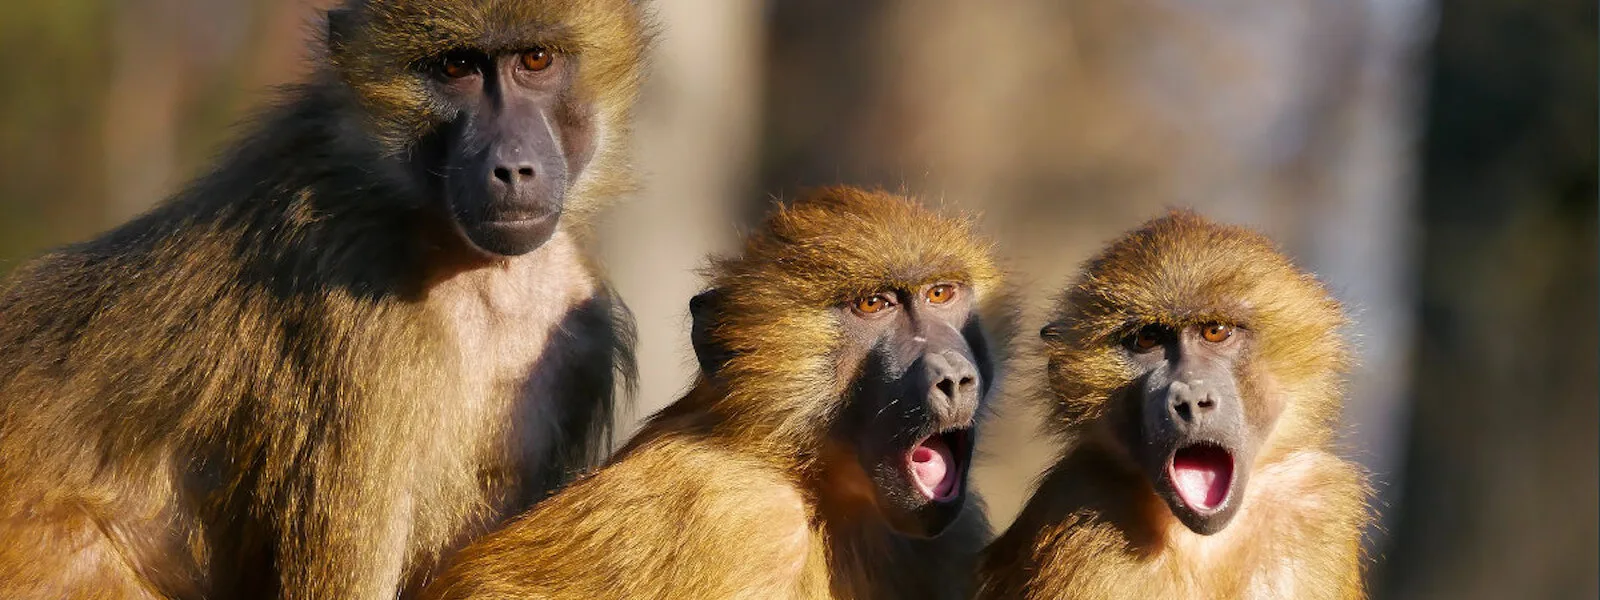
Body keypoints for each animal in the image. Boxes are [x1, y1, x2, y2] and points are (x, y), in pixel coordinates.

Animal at [977, 212, 1371, 600]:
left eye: (1216, 331)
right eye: (1147, 339)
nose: (1190, 401)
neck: (1204, 542)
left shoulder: (1313, 502)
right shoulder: (1082, 499)